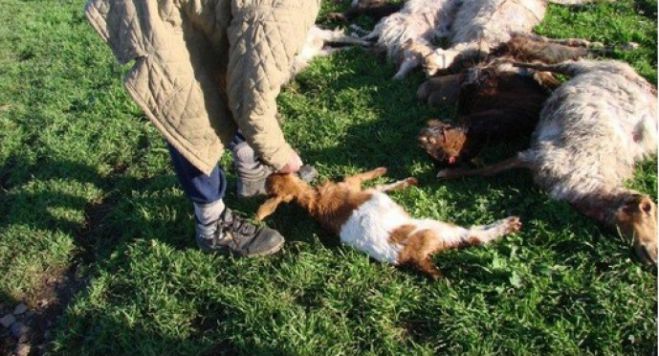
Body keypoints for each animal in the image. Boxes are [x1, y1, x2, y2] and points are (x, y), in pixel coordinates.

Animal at [255, 167, 524, 278]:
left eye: (274, 178)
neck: (314, 199)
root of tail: (414, 258)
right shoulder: (356, 185)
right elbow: (376, 180)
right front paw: (397, 176)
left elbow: (383, 185)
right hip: (436, 227)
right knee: (474, 235)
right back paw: (509, 224)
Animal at [436, 59, 656, 264]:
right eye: (649, 210)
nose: (654, 259)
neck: (587, 184)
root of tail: (636, 76)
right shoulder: (539, 156)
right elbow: (489, 169)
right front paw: (448, 172)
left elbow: (490, 169)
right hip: (588, 66)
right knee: (549, 64)